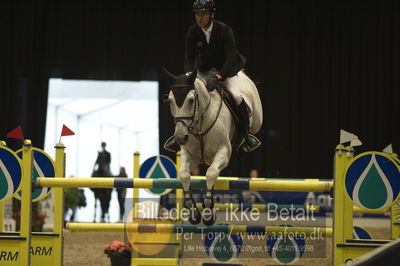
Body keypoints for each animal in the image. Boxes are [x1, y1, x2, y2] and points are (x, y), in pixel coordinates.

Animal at [162, 68, 262, 224]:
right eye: (171, 101)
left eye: (191, 100)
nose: (180, 137)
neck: (201, 123)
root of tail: (242, 74)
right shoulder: (190, 155)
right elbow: (184, 174)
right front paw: (193, 212)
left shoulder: (223, 152)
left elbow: (211, 173)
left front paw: (208, 213)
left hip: (257, 118)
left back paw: (249, 140)